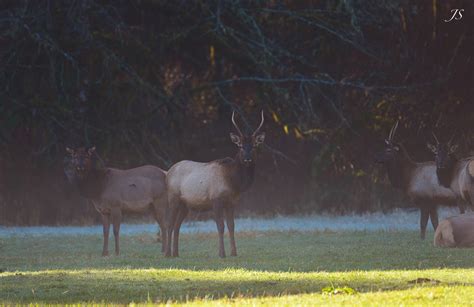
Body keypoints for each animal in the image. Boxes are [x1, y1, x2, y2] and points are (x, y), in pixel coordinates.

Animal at [165, 110, 264, 258]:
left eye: (254, 146)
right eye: (240, 146)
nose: (247, 159)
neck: (233, 182)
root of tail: (168, 173)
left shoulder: (232, 202)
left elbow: (231, 225)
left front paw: (234, 252)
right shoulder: (216, 199)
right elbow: (220, 226)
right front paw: (222, 253)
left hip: (185, 205)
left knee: (177, 226)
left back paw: (176, 253)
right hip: (173, 198)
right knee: (169, 224)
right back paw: (167, 253)